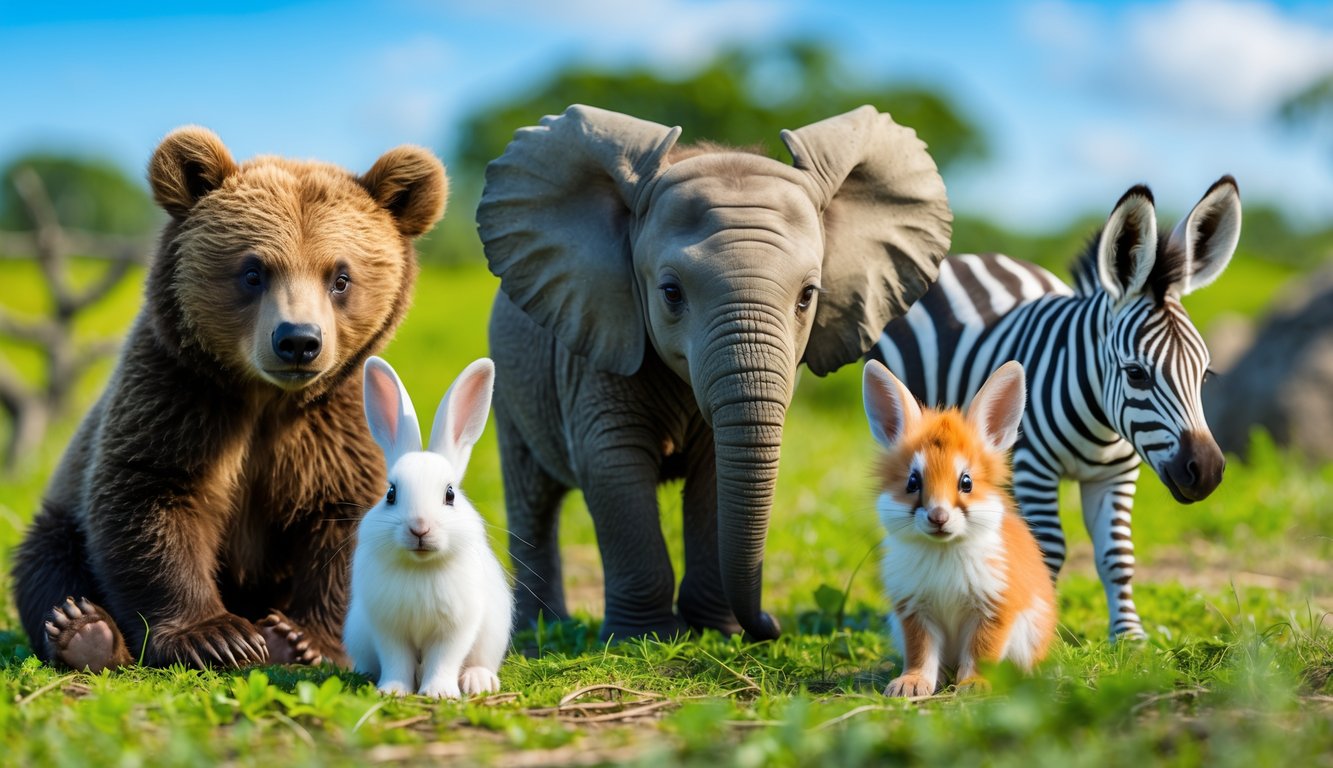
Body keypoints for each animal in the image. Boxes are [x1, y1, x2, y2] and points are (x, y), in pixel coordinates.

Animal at [869, 177, 1241, 639]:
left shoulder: (1117, 474)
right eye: (1136, 373)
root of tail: (971, 258)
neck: (1102, 426)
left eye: (1205, 375)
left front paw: (1129, 636)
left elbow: (1118, 554)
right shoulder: (1036, 468)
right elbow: (1049, 548)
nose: (1205, 471)